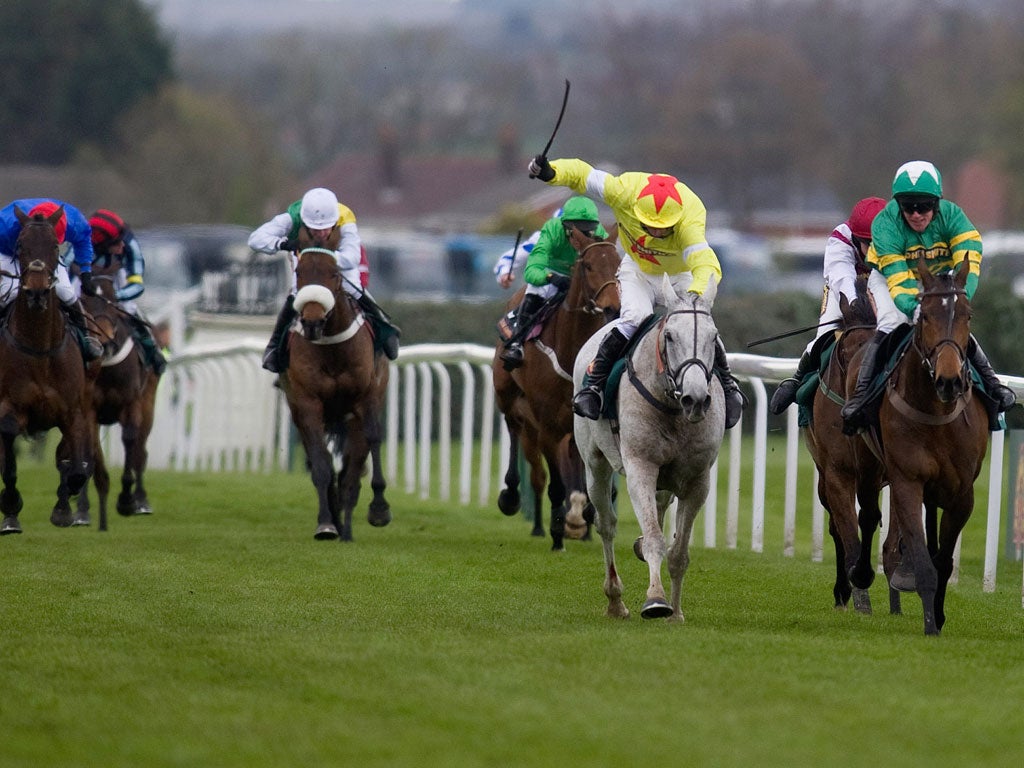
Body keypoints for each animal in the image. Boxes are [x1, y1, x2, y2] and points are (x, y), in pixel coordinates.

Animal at [0, 207, 96, 536]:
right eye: (20, 247)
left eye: (55, 247)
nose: (38, 292)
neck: (40, 347)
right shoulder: (8, 408)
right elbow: (9, 460)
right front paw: (11, 510)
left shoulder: (73, 411)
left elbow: (74, 466)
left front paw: (65, 508)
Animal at [74, 268, 159, 532]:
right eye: (85, 301)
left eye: (112, 301)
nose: (104, 340)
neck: (108, 367)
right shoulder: (89, 410)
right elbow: (90, 456)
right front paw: (86, 511)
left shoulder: (131, 405)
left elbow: (131, 442)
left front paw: (126, 500)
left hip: (148, 403)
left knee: (141, 451)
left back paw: (141, 500)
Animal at [860, 259, 987, 638]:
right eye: (925, 316)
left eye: (968, 315)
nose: (949, 381)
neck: (937, 414)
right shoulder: (907, 482)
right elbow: (923, 558)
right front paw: (930, 623)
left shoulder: (963, 493)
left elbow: (943, 560)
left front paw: (940, 617)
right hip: (864, 467)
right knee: (865, 516)